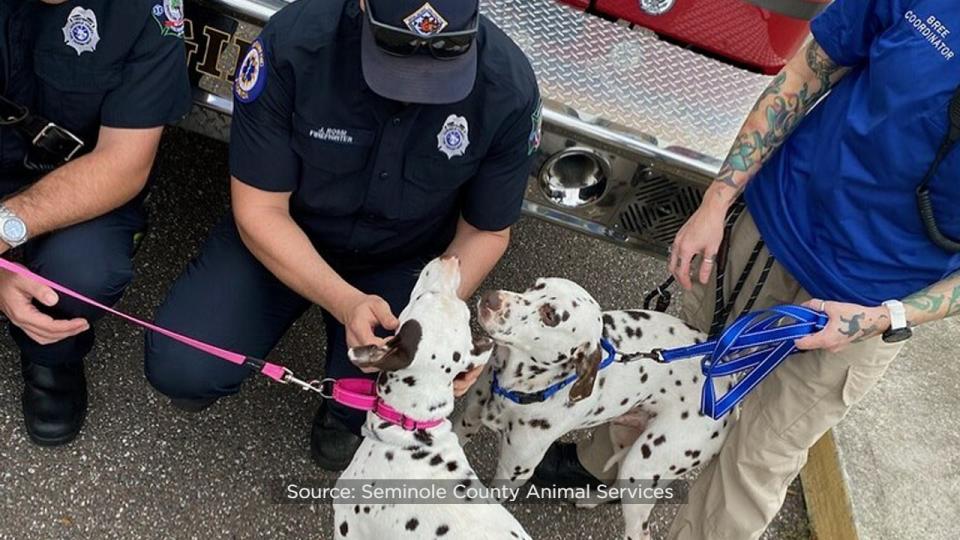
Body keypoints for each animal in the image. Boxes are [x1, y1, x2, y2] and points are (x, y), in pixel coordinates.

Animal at [456, 278, 736, 540]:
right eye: (535, 285)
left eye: (550, 316)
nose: (492, 299)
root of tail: (730, 390)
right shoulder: (465, 423)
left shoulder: (513, 471)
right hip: (623, 438)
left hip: (643, 463)